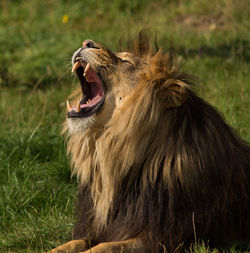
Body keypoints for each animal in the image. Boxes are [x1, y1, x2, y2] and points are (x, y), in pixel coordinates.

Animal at [49, 32, 249, 252]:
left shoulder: (163, 238)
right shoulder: (96, 228)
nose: (86, 43)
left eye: (125, 61)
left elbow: (104, 247)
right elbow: (71, 244)